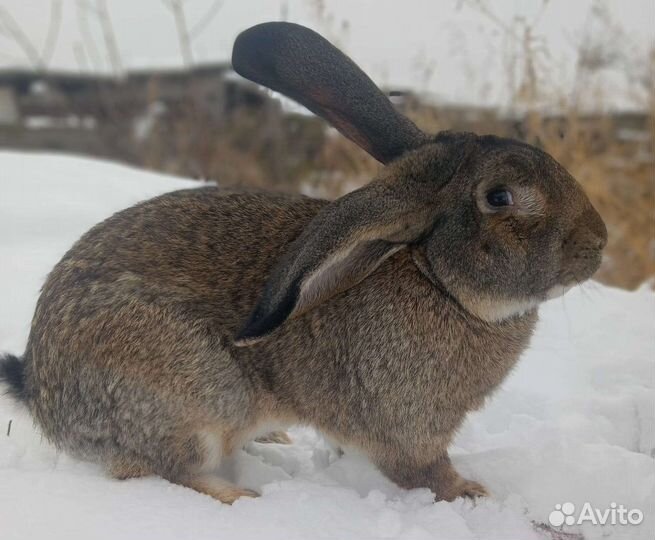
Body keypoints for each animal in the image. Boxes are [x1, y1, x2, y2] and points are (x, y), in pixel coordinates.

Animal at [0, 22, 607, 504]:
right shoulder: (408, 426)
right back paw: (242, 498)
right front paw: (473, 495)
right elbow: (422, 470)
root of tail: (38, 387)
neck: (433, 278)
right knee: (163, 469)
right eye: (500, 198)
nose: (599, 243)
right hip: (196, 397)